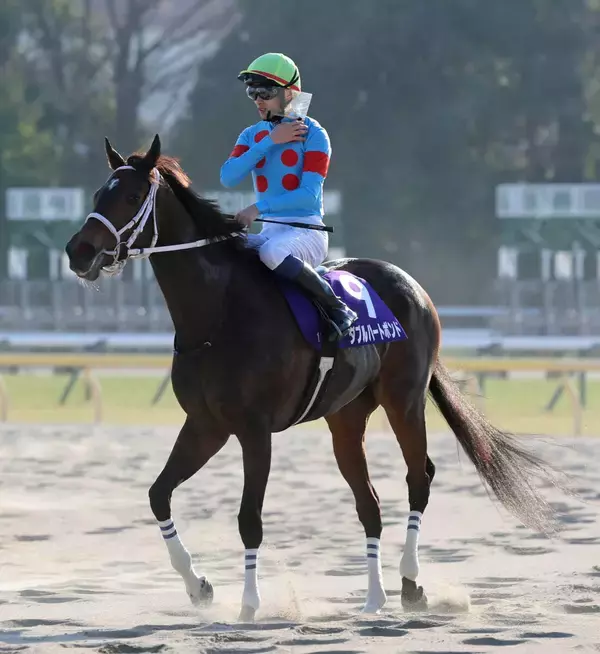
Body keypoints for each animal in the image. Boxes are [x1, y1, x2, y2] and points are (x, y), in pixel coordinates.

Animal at [65, 134, 556, 621]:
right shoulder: (206, 425)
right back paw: (374, 598)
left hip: (404, 399)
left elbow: (249, 518)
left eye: (131, 197)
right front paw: (198, 586)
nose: (78, 252)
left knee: (419, 477)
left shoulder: (254, 430)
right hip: (346, 418)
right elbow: (158, 495)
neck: (218, 314)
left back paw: (410, 584)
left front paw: (249, 605)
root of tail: (413, 286)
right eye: (98, 193)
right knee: (369, 503)